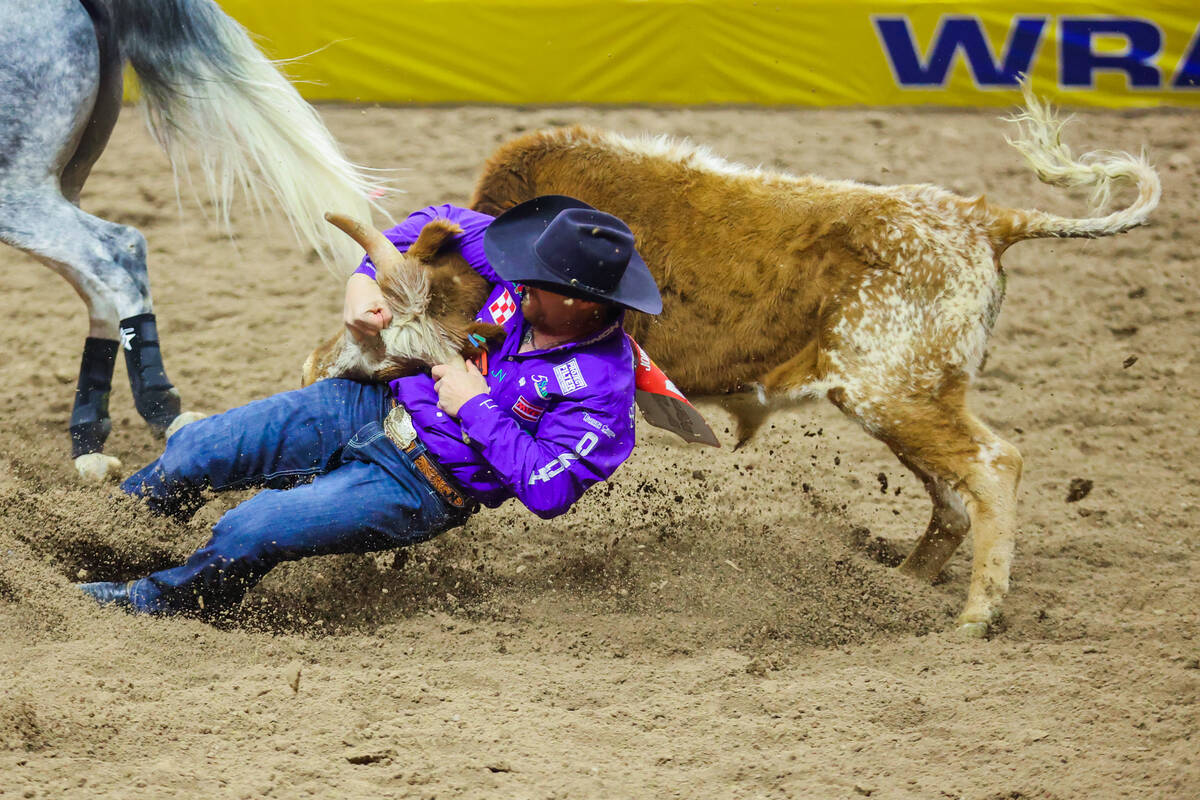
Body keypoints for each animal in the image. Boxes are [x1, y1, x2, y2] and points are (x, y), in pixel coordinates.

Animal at [0, 0, 379, 479]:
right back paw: (92, 440)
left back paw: (156, 410)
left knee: (117, 251)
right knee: (103, 277)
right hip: (60, 186)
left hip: (21, 193)